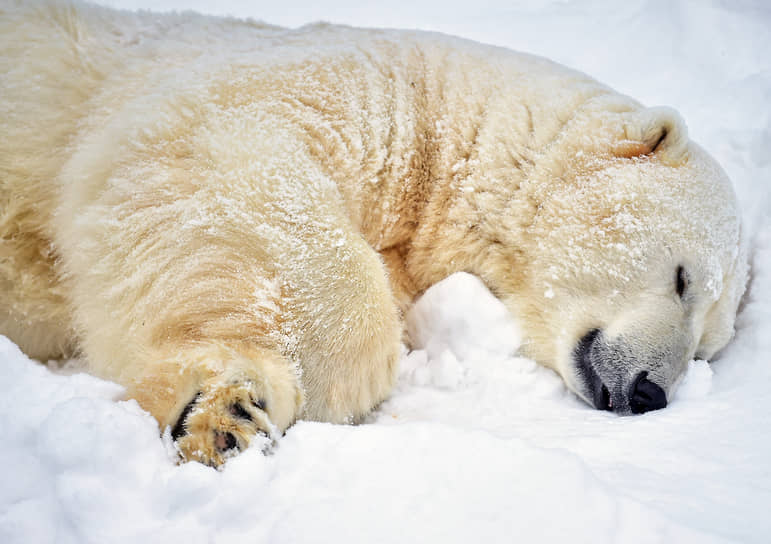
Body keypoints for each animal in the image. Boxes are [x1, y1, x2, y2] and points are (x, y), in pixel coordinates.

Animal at [0, 1, 747, 466]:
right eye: (683, 279)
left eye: (707, 348)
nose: (650, 393)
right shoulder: (357, 88)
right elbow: (230, 156)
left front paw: (230, 414)